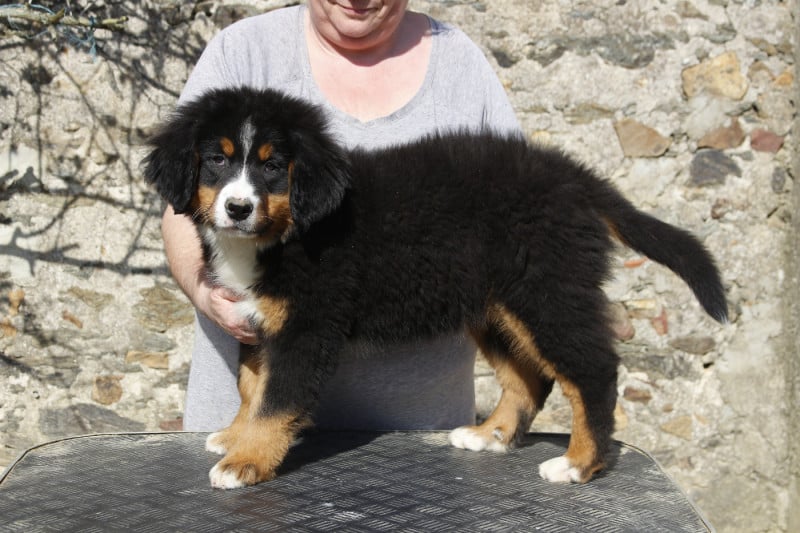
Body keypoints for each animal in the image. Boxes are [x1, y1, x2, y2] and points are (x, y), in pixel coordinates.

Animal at [144, 86, 727, 489]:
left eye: (272, 167)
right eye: (216, 159)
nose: (238, 208)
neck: (286, 234)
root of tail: (573, 177)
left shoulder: (307, 326)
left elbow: (275, 400)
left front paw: (245, 461)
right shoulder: (262, 320)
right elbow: (252, 387)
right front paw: (235, 436)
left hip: (547, 293)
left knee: (592, 372)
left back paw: (579, 464)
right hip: (497, 306)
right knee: (529, 378)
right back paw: (490, 435)